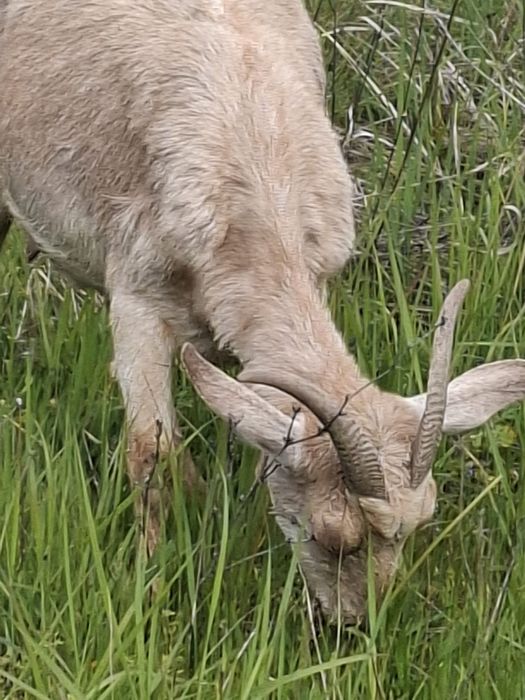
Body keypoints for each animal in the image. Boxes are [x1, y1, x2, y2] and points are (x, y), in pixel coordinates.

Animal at [1, 0, 524, 624]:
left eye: (421, 523)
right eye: (330, 535)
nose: (353, 623)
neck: (256, 153)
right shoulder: (135, 296)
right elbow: (152, 454)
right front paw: (152, 589)